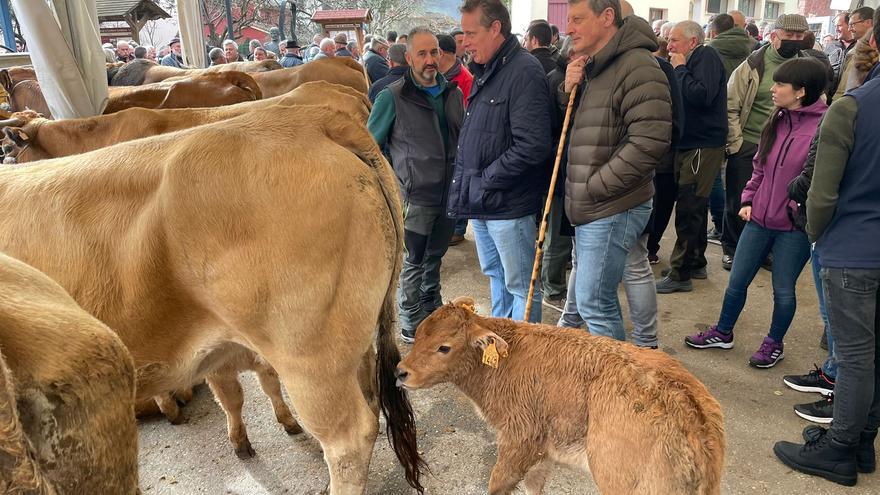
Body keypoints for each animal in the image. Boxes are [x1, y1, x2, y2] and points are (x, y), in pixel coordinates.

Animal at [396, 298, 724, 495]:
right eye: (420, 332)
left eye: (444, 347)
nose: (401, 372)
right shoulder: (543, 449)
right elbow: (534, 484)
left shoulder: (519, 439)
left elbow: (498, 483)